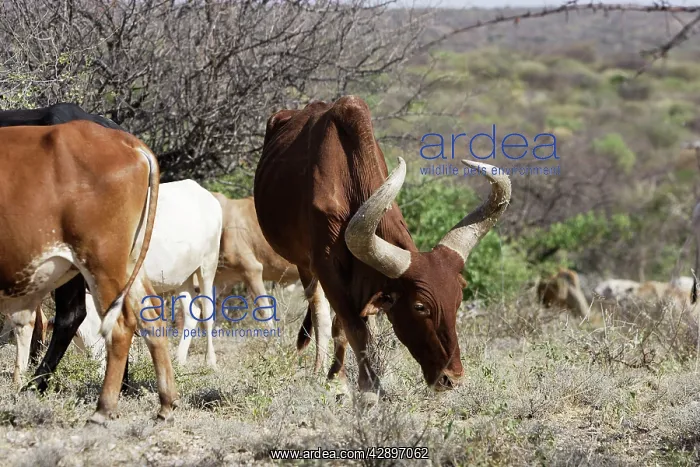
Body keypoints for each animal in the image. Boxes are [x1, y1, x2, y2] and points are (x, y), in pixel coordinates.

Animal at [0, 120, 178, 424]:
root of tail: (129, 143)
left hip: (101, 263)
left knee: (120, 326)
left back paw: (103, 408)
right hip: (128, 265)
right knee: (152, 318)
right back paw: (166, 405)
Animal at [253, 96, 511, 394]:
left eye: (457, 300)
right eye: (420, 306)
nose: (452, 378)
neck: (350, 177)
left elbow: (352, 328)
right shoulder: (327, 267)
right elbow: (350, 328)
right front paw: (351, 384)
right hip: (304, 264)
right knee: (318, 308)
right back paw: (320, 368)